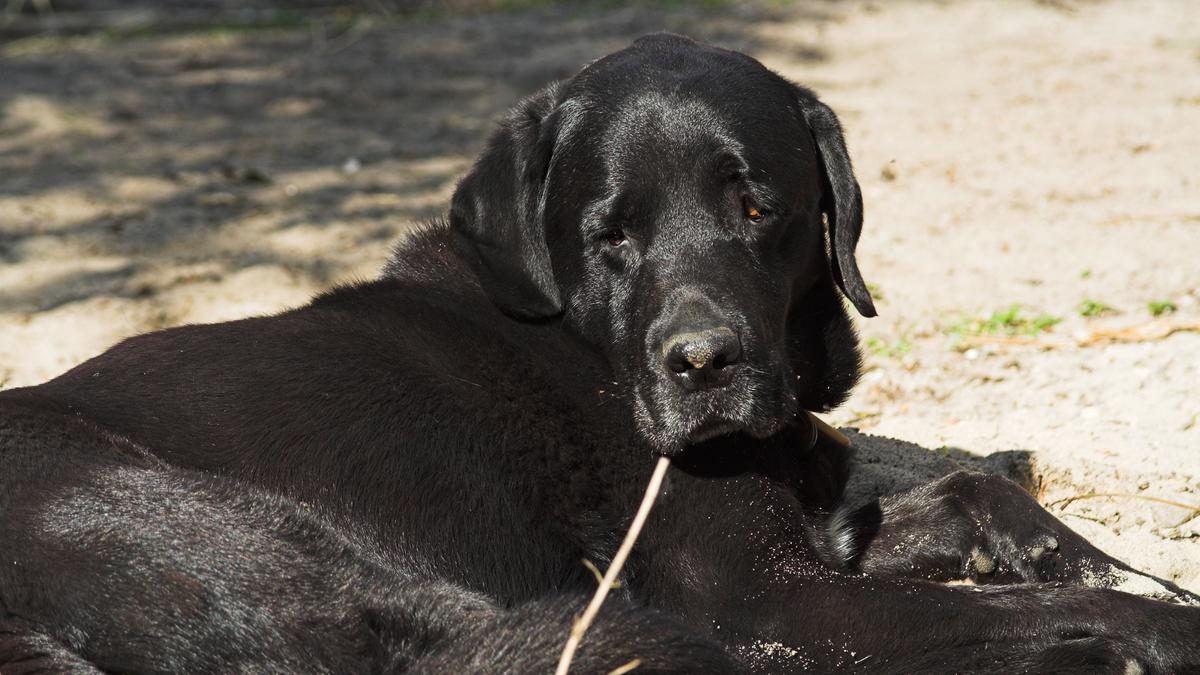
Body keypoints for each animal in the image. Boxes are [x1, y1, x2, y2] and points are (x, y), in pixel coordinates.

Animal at [2, 32, 1200, 672]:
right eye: (608, 236)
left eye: (758, 206)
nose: (703, 364)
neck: (585, 347)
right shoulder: (768, 595)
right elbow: (1018, 601)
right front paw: (1131, 622)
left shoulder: (817, 531)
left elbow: (975, 497)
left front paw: (1110, 561)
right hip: (218, 530)